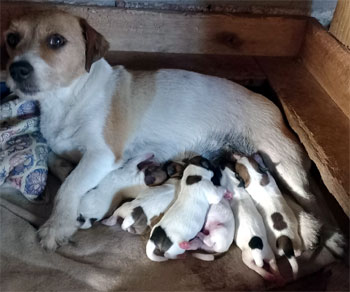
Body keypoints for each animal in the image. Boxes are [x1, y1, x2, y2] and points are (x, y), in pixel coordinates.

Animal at [4, 10, 318, 250]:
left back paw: (311, 229)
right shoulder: (62, 150)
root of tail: (268, 102)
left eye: (56, 41)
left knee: (304, 201)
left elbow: (68, 186)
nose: (16, 69)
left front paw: (56, 225)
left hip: (285, 166)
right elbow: (56, 162)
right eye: (11, 39)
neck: (68, 98)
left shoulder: (101, 156)